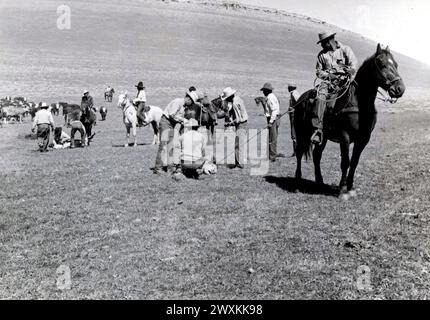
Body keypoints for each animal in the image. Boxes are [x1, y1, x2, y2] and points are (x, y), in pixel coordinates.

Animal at [294, 43, 404, 196]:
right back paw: (298, 181)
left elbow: (354, 161)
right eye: (382, 64)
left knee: (317, 155)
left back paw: (319, 182)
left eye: (396, 64)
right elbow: (345, 162)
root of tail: (301, 98)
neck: (359, 103)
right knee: (299, 153)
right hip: (300, 132)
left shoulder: (363, 138)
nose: (400, 89)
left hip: (323, 136)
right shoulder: (344, 136)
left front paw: (350, 187)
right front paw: (342, 188)